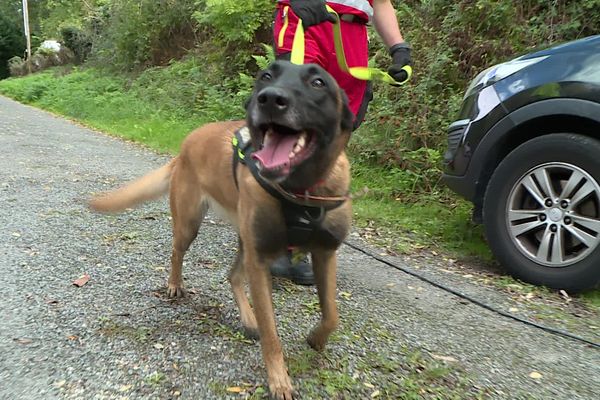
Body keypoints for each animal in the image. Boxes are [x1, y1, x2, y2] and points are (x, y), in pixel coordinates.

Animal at [91, 61, 354, 398]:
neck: (302, 190)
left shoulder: (324, 254)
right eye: (265, 76)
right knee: (177, 252)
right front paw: (279, 379)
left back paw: (248, 318)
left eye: (318, 82)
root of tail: (184, 147)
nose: (270, 99)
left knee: (233, 276)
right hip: (190, 224)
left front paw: (316, 339)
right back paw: (176, 285)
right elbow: (272, 333)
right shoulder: (261, 258)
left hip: (245, 239)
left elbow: (332, 314)